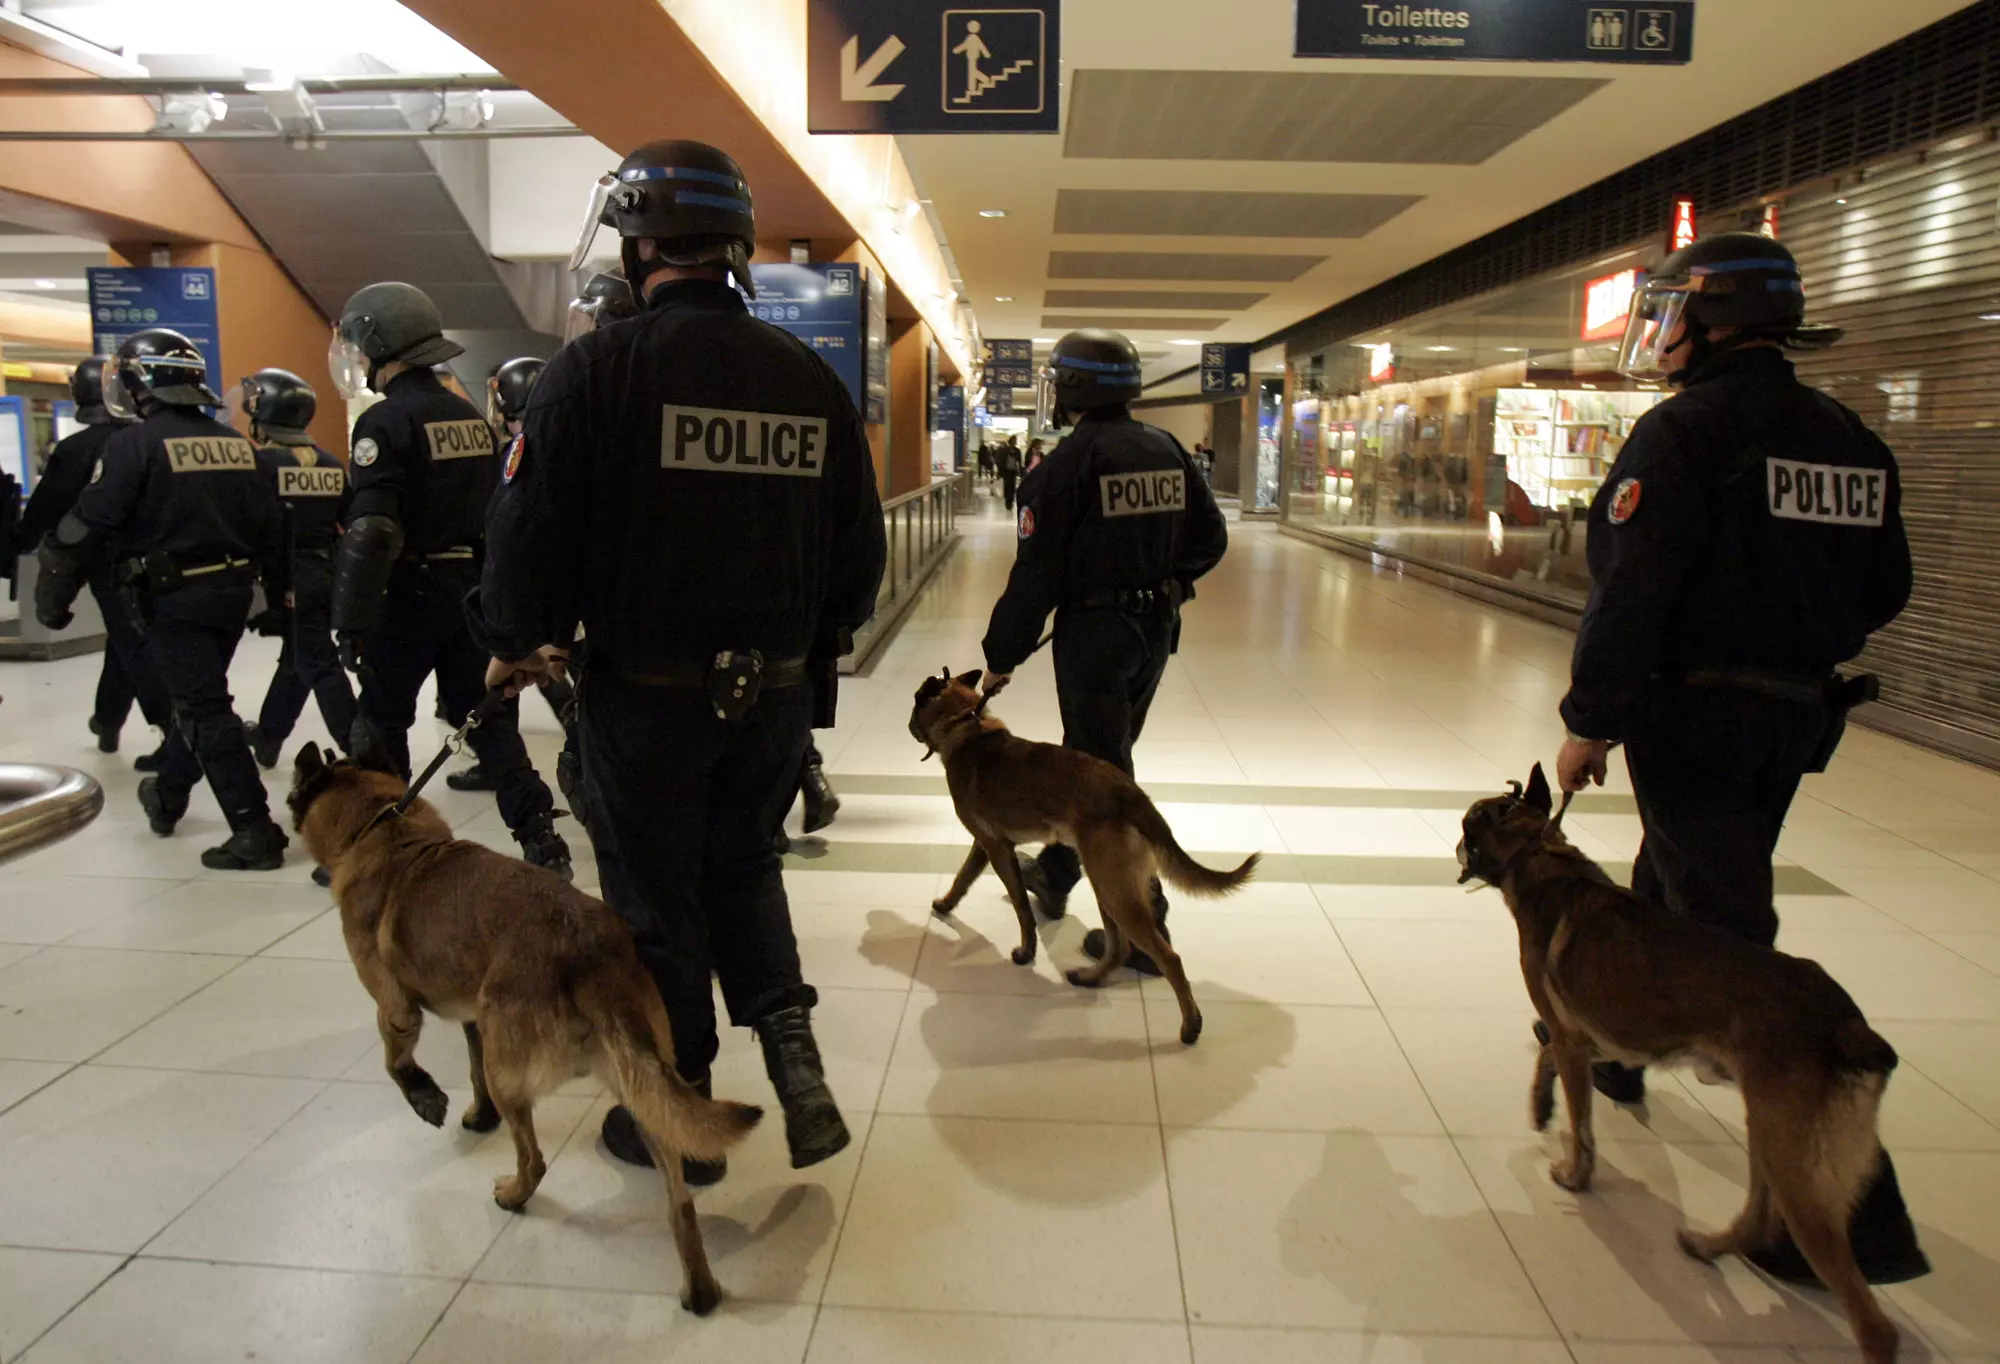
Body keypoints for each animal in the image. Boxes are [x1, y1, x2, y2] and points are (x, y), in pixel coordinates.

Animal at [292, 740, 764, 1312]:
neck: (382, 824)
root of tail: (589, 956)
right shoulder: (472, 1020)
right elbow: (471, 1072)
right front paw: (478, 1116)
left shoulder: (396, 1009)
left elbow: (395, 1062)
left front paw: (425, 1096)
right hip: (642, 1088)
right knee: (680, 1202)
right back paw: (699, 1289)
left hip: (517, 1071)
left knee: (535, 1160)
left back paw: (514, 1195)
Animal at [916, 668, 1256, 1040]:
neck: (964, 725)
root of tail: (1134, 796)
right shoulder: (987, 846)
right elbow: (963, 878)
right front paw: (946, 904)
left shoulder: (996, 849)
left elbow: (1021, 907)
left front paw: (1026, 952)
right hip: (1109, 888)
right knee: (1120, 949)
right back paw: (1091, 978)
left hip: (1113, 890)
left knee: (1169, 958)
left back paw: (1191, 1025)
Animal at [1472, 764, 1904, 1360]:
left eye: (1468, 824)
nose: (1459, 847)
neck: (1542, 857)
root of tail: (1849, 1027)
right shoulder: (1599, 1039)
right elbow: (1550, 1060)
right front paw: (1541, 1105)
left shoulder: (1572, 1035)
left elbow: (1581, 1124)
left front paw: (1576, 1175)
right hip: (1774, 1139)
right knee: (1758, 1219)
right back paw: (1710, 1244)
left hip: (1791, 1159)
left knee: (1873, 1324)